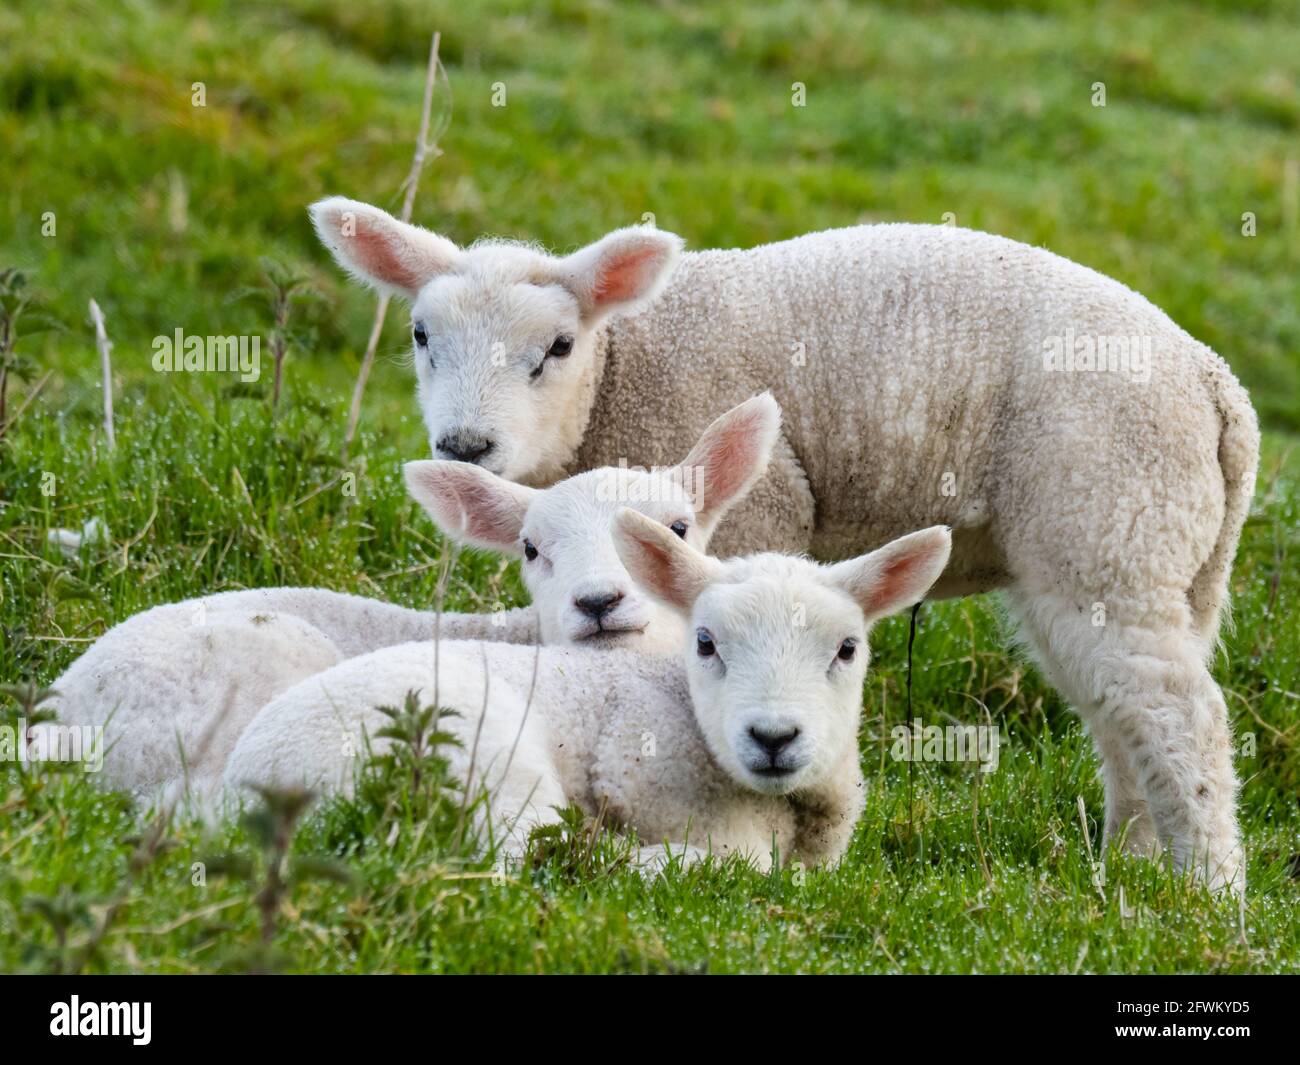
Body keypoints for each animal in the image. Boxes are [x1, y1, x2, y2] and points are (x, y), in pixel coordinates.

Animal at [226, 517, 956, 873]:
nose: (773, 737)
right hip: (480, 760)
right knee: (527, 859)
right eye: (706, 643)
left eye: (847, 648)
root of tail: (243, 794)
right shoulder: (648, 781)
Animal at [306, 200, 1258, 889]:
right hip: (1138, 553)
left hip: (1110, 518)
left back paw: (1207, 895)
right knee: (1122, 713)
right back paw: (1130, 871)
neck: (623, 365)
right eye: (421, 336)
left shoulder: (755, 510)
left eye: (558, 347)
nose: (464, 446)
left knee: (1183, 717)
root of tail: (1219, 389)